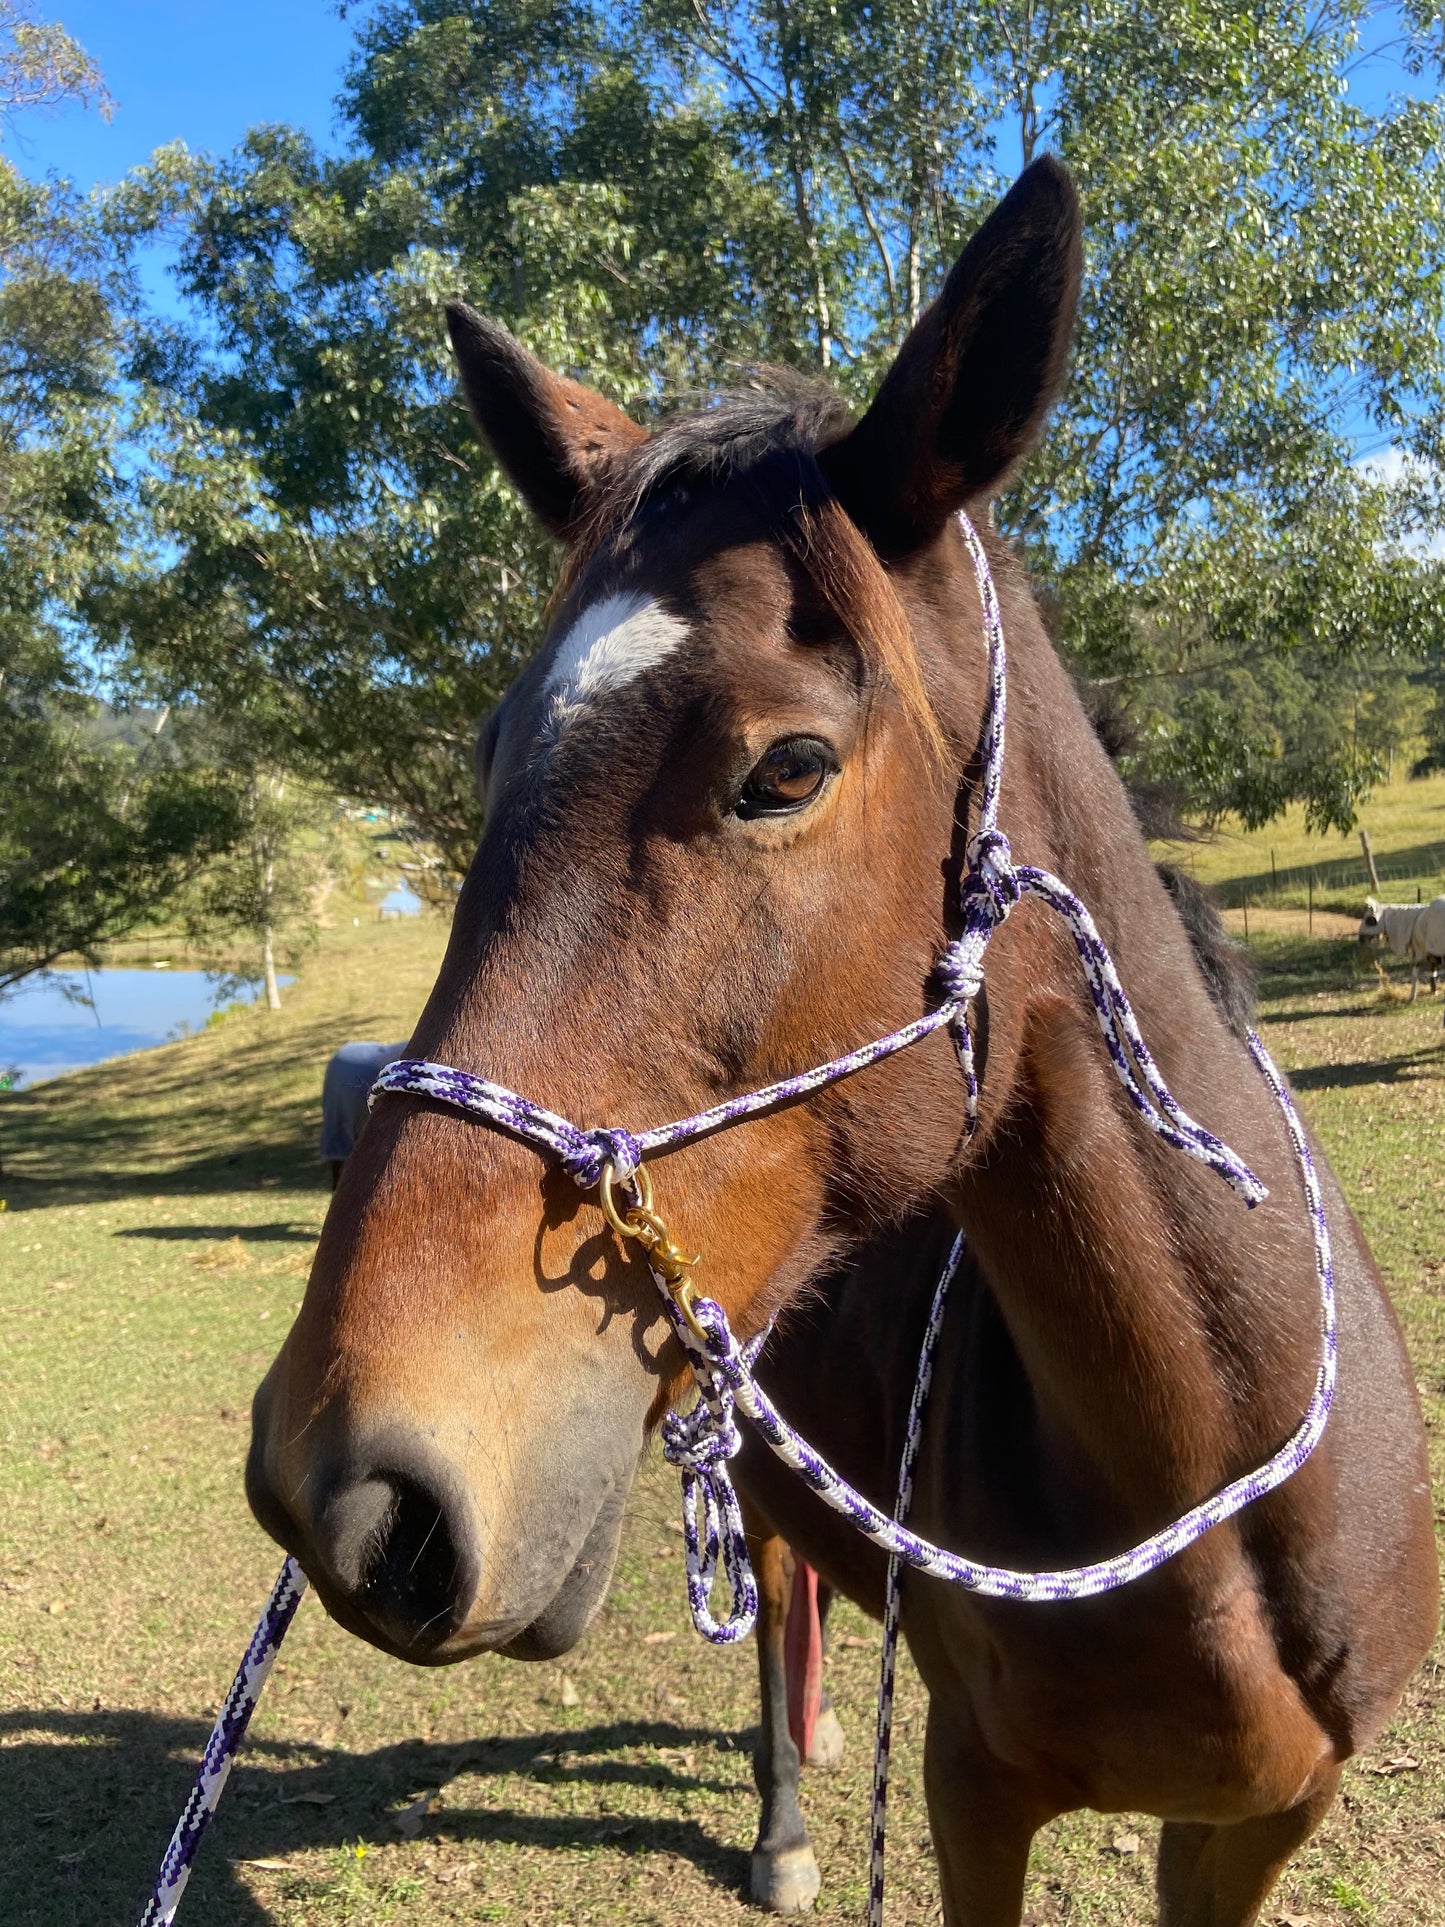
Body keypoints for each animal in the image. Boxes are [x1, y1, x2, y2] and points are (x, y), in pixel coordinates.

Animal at [248, 158, 1441, 1919]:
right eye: (489, 753)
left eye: (787, 768)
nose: (339, 1481)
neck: (1217, 1477)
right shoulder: (971, 1789)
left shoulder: (1263, 1819)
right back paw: (781, 1814)